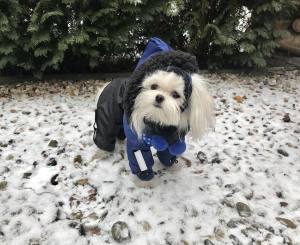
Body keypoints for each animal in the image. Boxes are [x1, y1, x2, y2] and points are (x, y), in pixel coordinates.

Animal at [92, 37, 214, 181]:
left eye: (175, 95)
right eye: (154, 86)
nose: (159, 97)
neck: (157, 119)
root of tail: (109, 83)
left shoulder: (171, 139)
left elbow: (168, 154)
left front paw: (172, 166)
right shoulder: (137, 142)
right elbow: (141, 159)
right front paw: (146, 180)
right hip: (107, 115)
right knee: (104, 133)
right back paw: (101, 153)